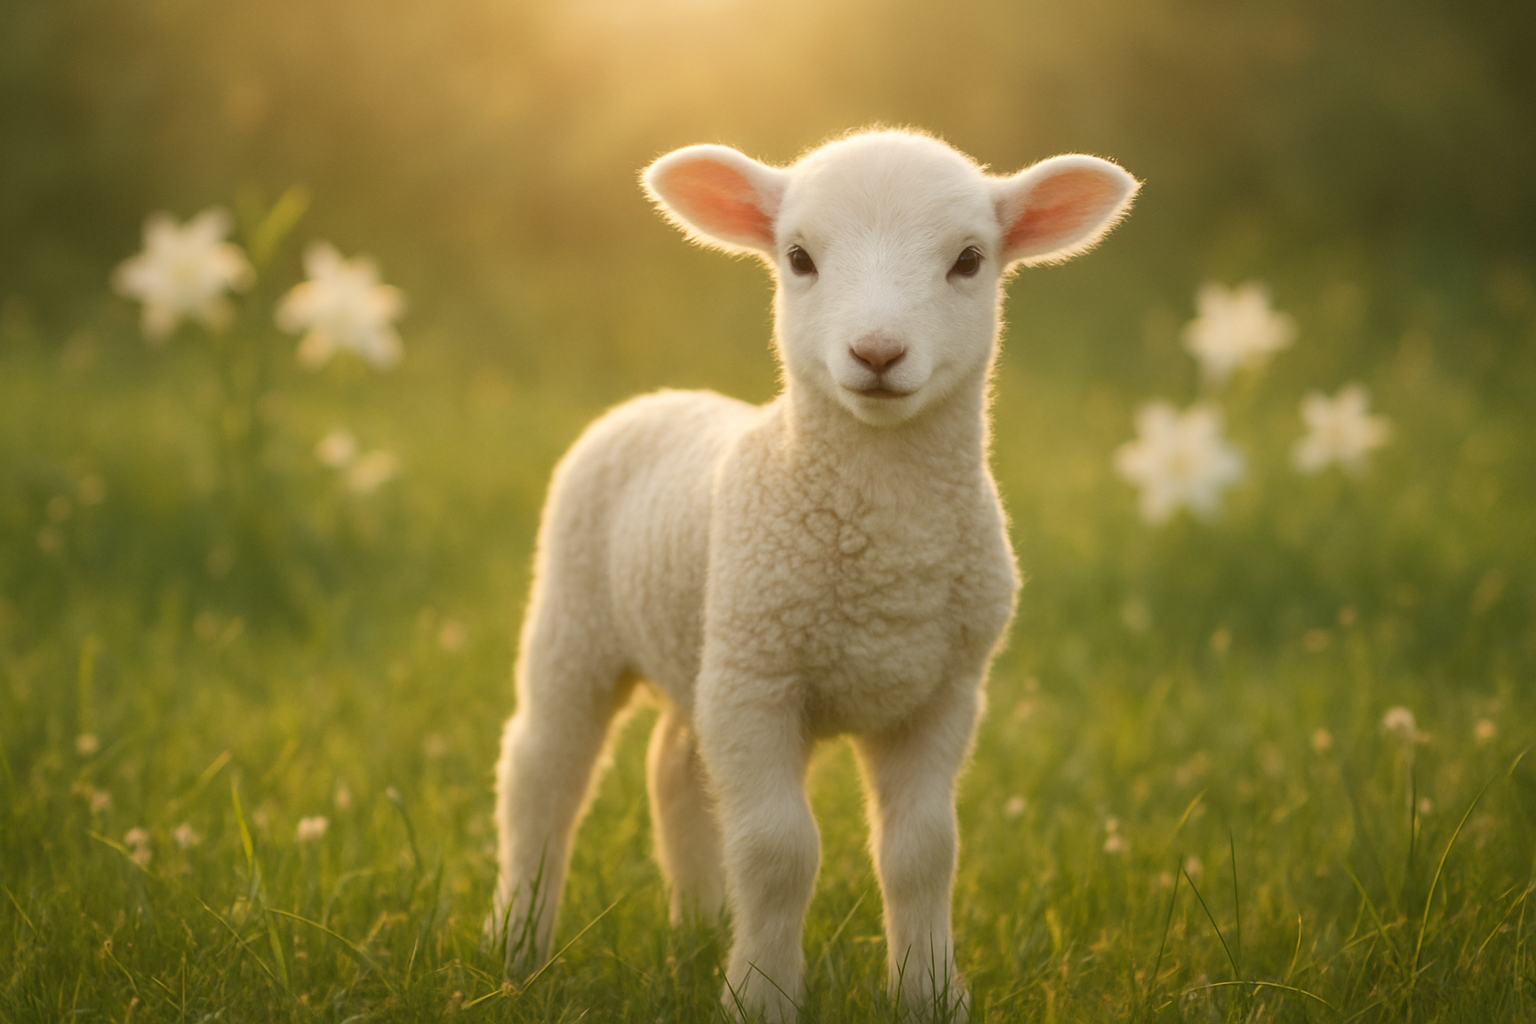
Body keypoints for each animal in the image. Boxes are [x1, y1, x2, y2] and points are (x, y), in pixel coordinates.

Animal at [490, 128, 1138, 1021]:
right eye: (798, 258)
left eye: (970, 260)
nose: (877, 352)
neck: (885, 551)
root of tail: (662, 396)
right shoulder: (759, 680)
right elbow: (778, 852)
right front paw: (760, 997)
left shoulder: (942, 691)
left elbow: (923, 852)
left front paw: (930, 994)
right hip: (577, 621)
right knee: (543, 774)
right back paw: (519, 945)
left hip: (704, 650)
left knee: (677, 770)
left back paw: (698, 930)